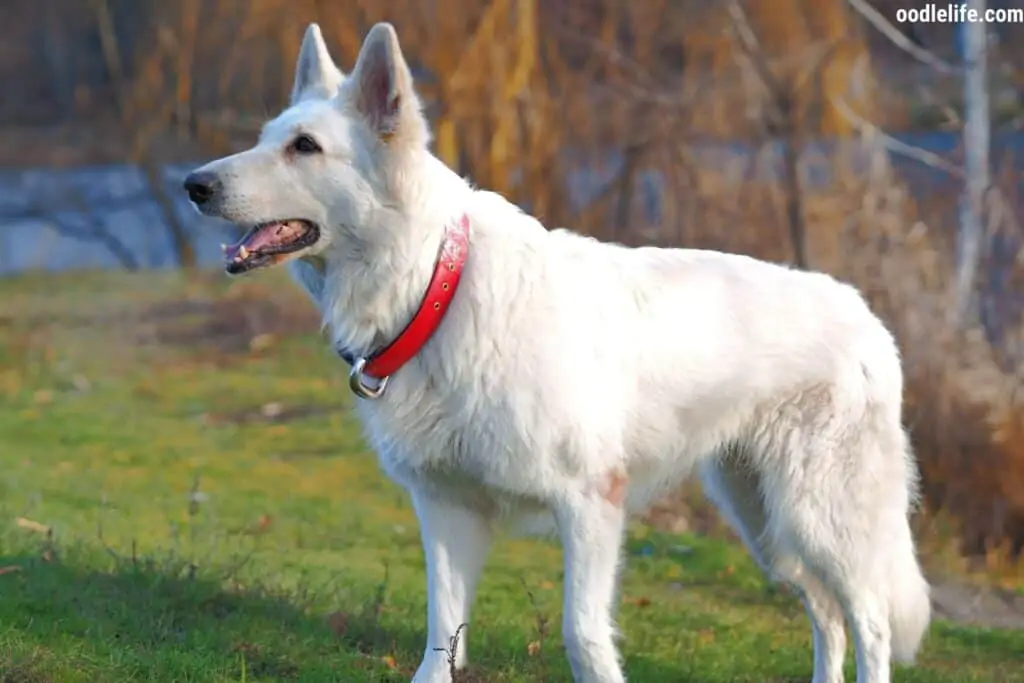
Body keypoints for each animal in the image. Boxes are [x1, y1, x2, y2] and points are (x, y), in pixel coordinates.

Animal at [184, 21, 929, 683]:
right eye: (265, 140)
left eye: (304, 147)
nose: (194, 184)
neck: (435, 286)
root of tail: (869, 317)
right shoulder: (446, 509)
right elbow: (440, 635)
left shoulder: (590, 505)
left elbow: (582, 636)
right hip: (765, 523)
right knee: (826, 615)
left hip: (818, 518)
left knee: (869, 621)